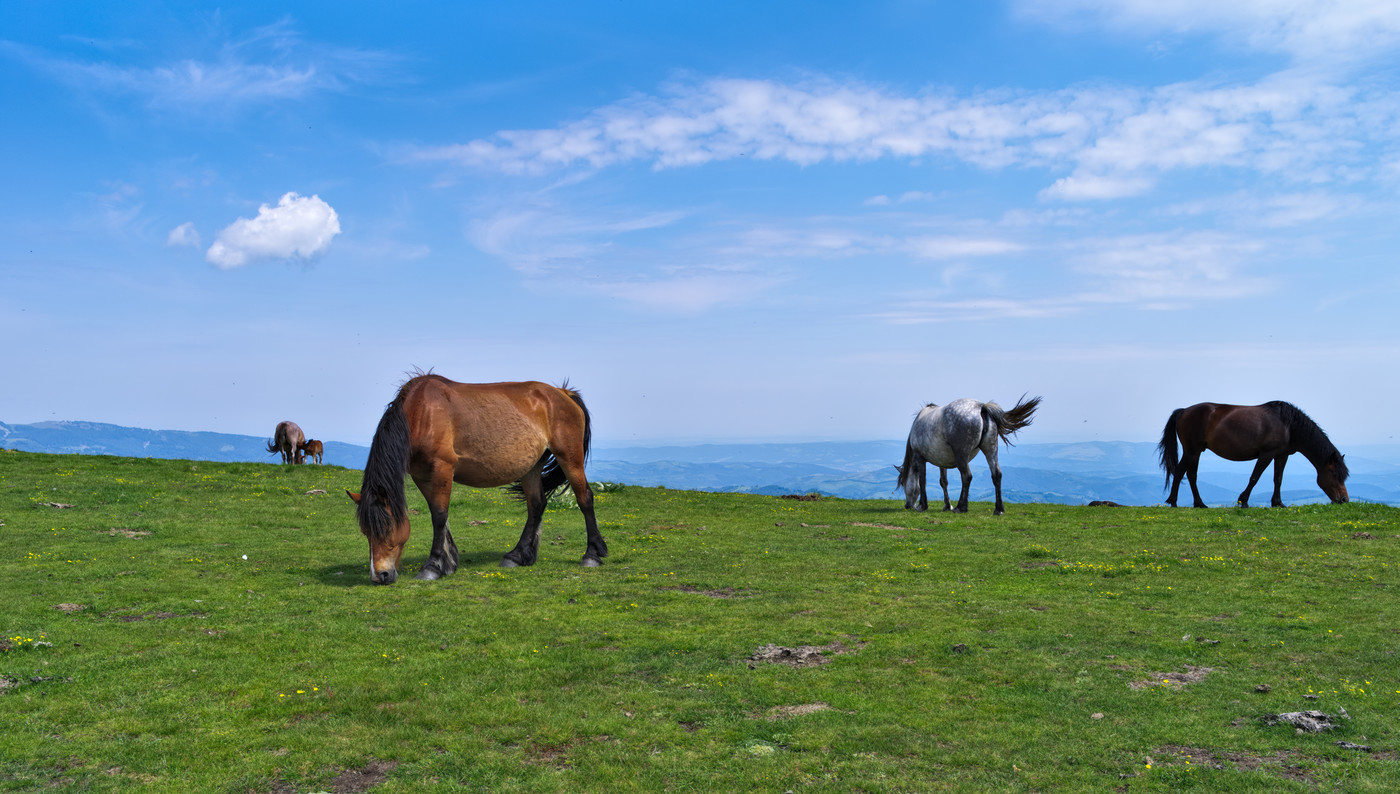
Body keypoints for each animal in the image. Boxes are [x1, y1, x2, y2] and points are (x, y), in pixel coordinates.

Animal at [345, 372, 607, 585]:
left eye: (387, 528)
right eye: (365, 532)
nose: (380, 576)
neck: (421, 413)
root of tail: (563, 393)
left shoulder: (442, 467)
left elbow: (439, 515)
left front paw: (433, 566)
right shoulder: (421, 474)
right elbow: (438, 514)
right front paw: (448, 562)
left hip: (569, 457)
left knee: (585, 498)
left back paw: (592, 555)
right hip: (532, 467)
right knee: (536, 505)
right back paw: (517, 555)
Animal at [896, 394, 1041, 515]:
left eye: (903, 484)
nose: (907, 506)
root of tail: (981, 407)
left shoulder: (920, 458)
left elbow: (923, 481)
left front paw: (923, 506)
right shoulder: (942, 462)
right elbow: (943, 482)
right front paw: (947, 506)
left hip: (962, 454)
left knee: (967, 476)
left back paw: (961, 507)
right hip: (991, 450)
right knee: (996, 474)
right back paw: (998, 509)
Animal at [1159, 403, 1344, 509]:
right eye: (1335, 474)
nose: (1343, 499)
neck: (1289, 426)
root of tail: (1184, 411)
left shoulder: (1281, 455)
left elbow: (1278, 479)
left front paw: (1278, 503)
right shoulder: (1266, 454)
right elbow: (1255, 477)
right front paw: (1244, 501)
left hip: (1195, 451)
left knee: (1187, 473)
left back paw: (1195, 503)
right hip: (1192, 450)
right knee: (1183, 472)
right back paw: (1178, 502)